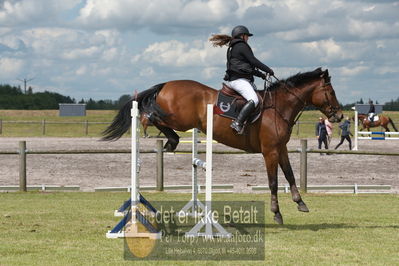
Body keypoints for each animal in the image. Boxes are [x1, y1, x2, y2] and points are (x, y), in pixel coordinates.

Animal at [103, 67, 344, 223]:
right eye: (331, 92)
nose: (339, 115)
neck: (279, 107)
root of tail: (166, 85)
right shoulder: (269, 152)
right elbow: (274, 182)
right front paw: (277, 213)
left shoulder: (281, 148)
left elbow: (290, 174)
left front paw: (300, 202)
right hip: (179, 120)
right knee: (153, 116)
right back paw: (163, 135)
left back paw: (171, 142)